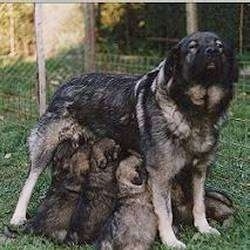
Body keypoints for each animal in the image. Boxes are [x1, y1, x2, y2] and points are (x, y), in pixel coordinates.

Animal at [10, 32, 237, 249]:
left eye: (219, 46)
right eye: (192, 46)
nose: (212, 52)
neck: (195, 111)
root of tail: (65, 84)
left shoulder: (199, 169)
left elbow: (199, 204)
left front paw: (204, 228)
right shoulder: (161, 175)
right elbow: (165, 213)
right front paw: (171, 241)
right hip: (44, 148)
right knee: (29, 181)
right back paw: (18, 217)